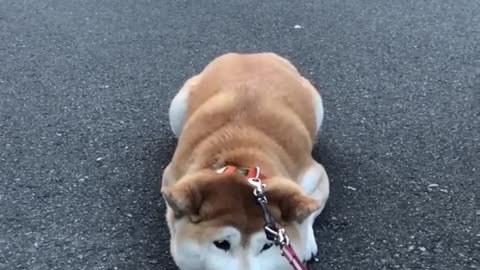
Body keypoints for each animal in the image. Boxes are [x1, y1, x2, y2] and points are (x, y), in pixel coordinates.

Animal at [161, 52, 330, 270]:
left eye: (267, 246)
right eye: (221, 244)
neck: (241, 164)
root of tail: (250, 54)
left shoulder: (313, 174)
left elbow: (311, 209)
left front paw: (306, 241)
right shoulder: (173, 176)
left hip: (317, 104)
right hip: (177, 108)